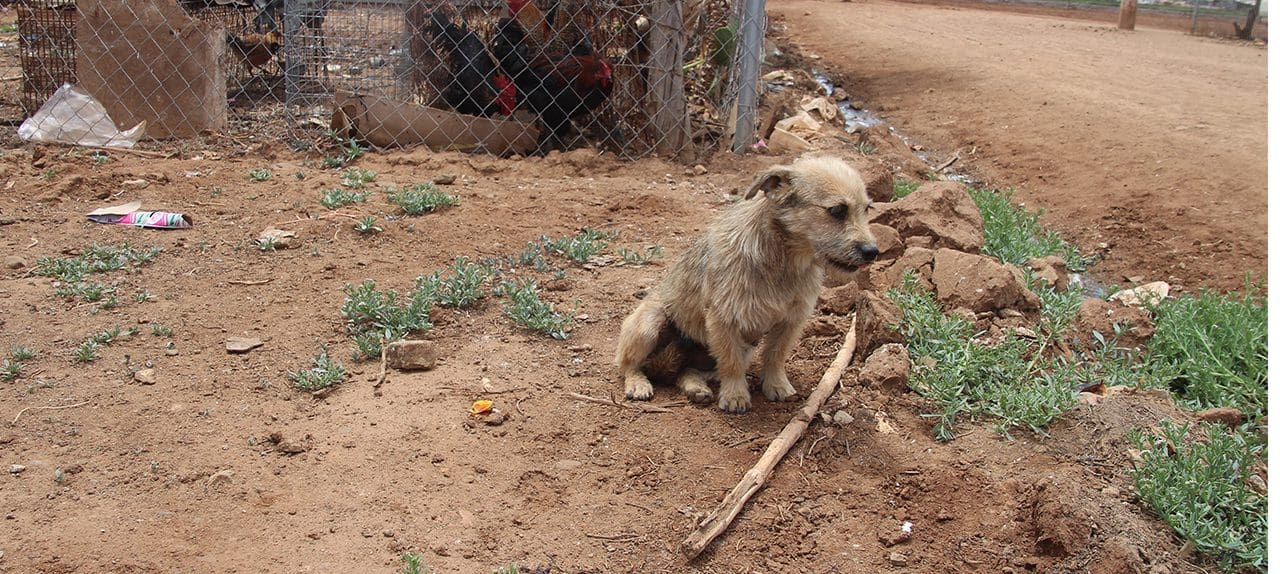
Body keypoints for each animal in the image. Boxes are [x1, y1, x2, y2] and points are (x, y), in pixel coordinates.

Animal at [611, 155, 880, 410]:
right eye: (837, 210)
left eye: (868, 209)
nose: (872, 251)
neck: (784, 261)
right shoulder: (724, 320)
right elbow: (732, 364)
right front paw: (735, 396)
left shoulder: (791, 321)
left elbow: (775, 356)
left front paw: (776, 385)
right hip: (650, 323)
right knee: (628, 365)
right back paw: (638, 383)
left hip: (731, 351)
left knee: (687, 371)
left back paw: (696, 388)